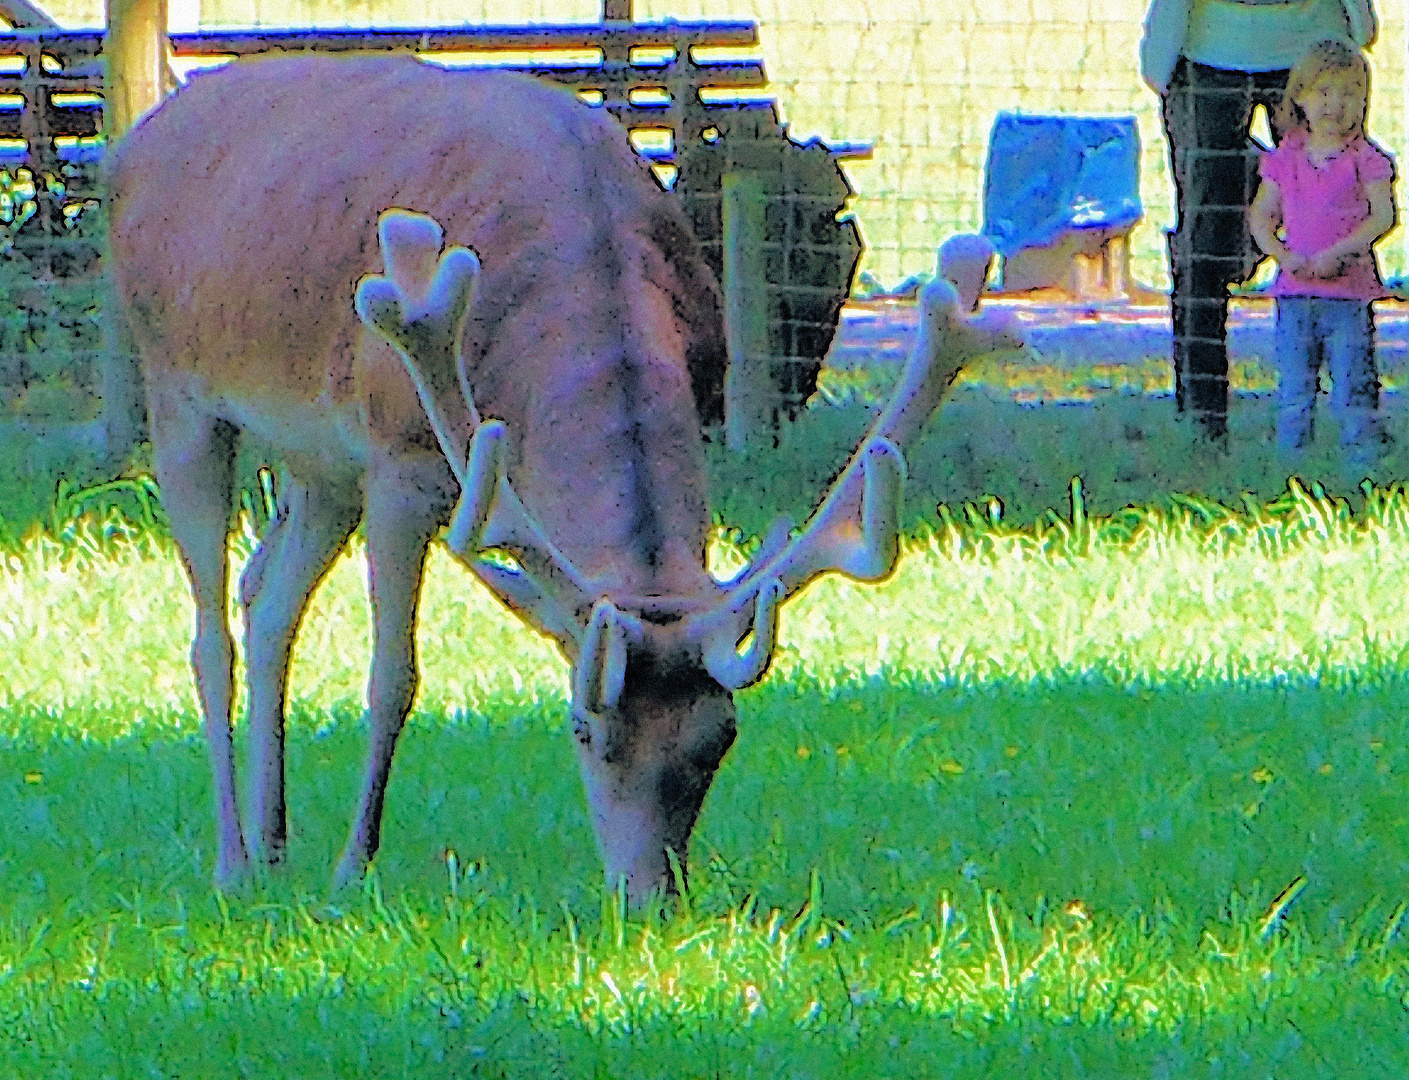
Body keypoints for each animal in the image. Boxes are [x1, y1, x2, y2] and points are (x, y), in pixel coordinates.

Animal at [109, 54, 1014, 906]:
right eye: (584, 728)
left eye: (719, 739)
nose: (649, 897)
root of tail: (135, 144)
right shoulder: (399, 455)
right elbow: (393, 674)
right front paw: (351, 874)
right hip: (178, 387)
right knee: (211, 631)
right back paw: (233, 861)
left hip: (319, 462)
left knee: (268, 599)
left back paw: (273, 848)